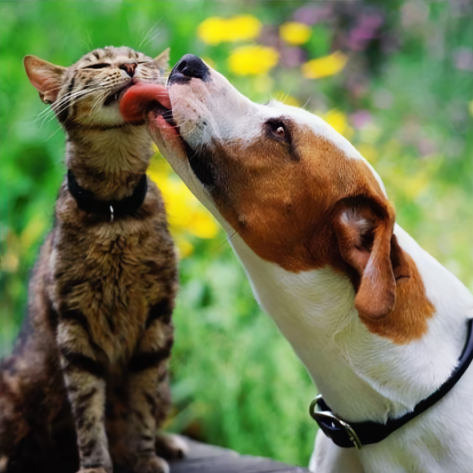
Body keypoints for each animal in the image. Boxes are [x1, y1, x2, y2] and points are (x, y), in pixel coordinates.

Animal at [0, 47, 184, 472]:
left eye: (139, 59)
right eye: (98, 65)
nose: (129, 67)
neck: (114, 214)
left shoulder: (157, 321)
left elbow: (143, 402)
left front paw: (145, 455)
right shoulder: (74, 326)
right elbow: (87, 410)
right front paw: (96, 465)